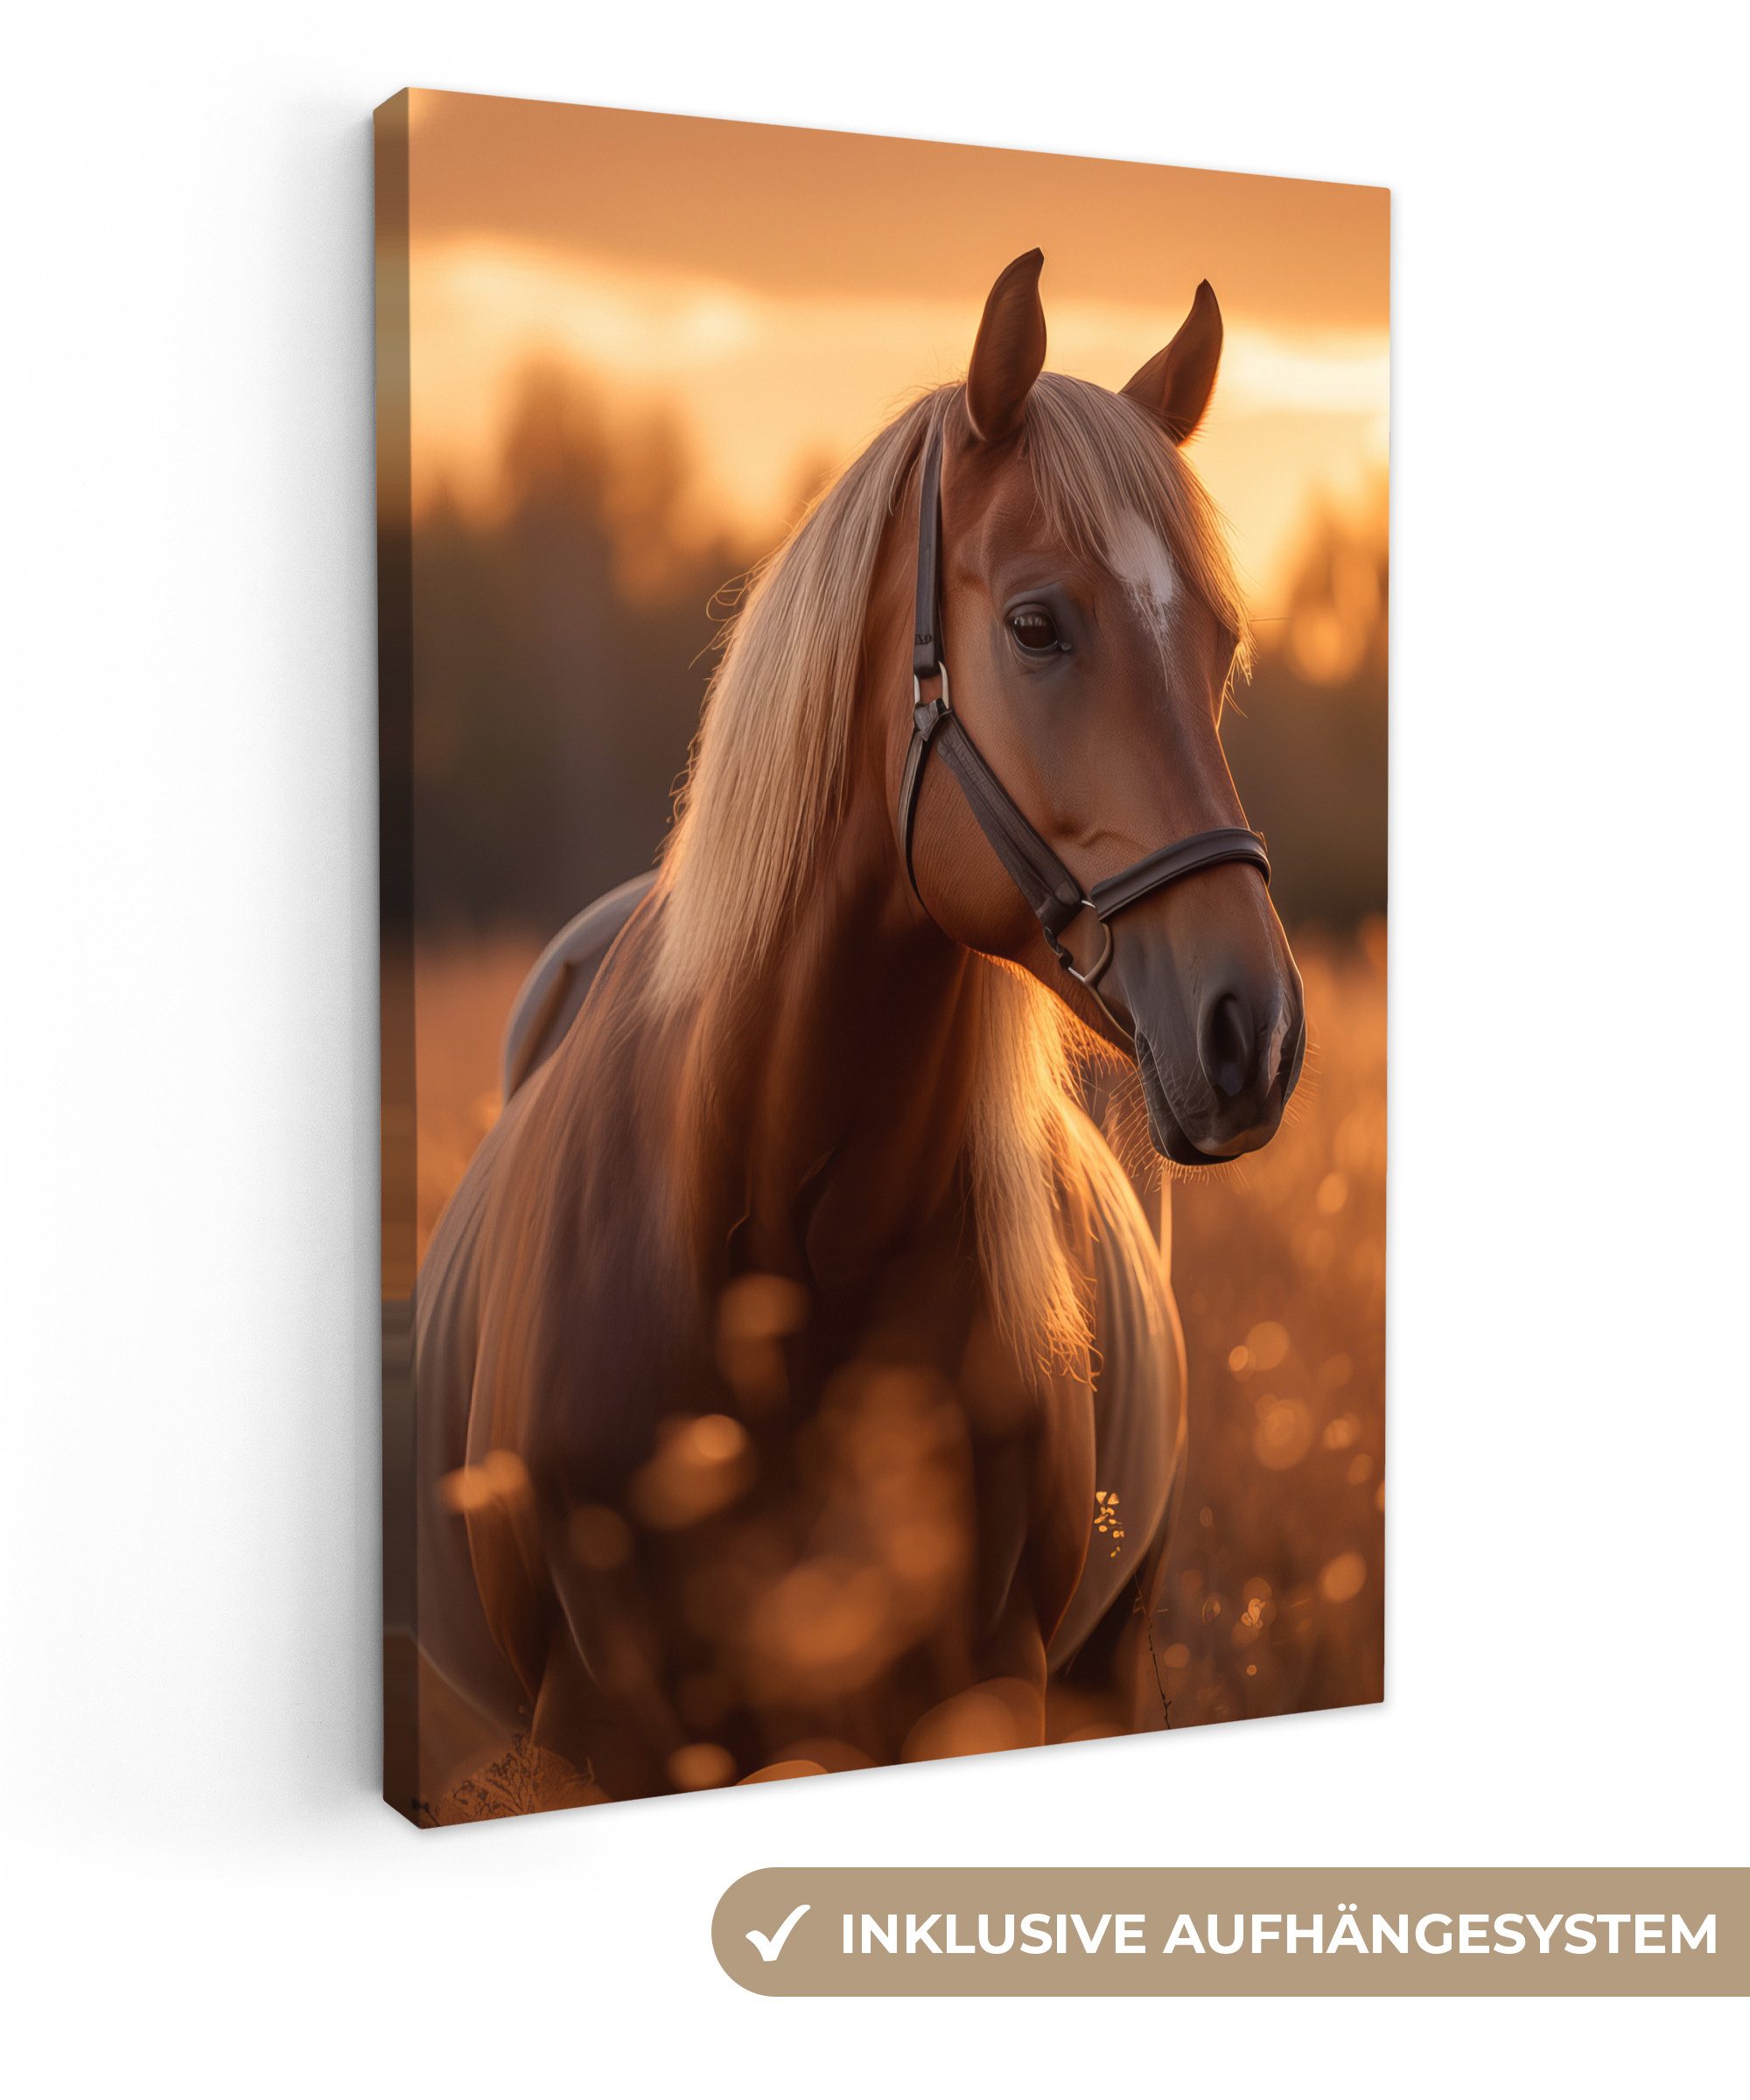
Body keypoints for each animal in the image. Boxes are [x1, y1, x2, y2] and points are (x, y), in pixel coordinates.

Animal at [410, 250, 1306, 1819]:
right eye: (1036, 624)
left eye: (1222, 644)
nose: (1249, 1031)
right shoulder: (605, 1735)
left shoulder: (984, 1692)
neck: (774, 1233)